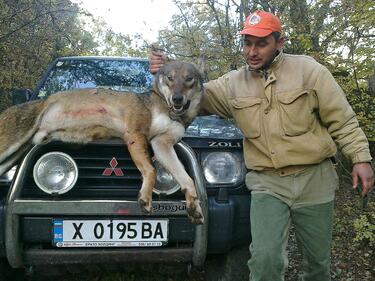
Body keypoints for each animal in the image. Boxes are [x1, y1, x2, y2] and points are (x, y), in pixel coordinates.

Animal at [0, 59, 206, 223]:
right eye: (170, 78)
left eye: (189, 79)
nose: (177, 99)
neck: (166, 109)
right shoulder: (135, 135)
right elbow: (151, 170)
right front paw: (145, 198)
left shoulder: (162, 144)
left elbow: (187, 179)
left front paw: (194, 207)